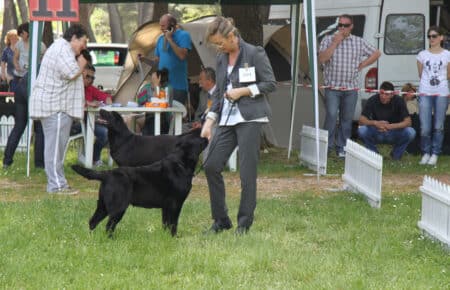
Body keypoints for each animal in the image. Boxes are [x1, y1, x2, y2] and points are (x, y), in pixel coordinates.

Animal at [72, 129, 207, 238]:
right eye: (198, 137)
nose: (205, 136)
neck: (181, 164)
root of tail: (107, 174)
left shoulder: (166, 206)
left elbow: (165, 224)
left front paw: (165, 238)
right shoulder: (176, 204)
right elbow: (173, 224)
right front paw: (174, 238)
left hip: (103, 205)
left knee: (92, 221)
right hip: (118, 207)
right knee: (109, 226)